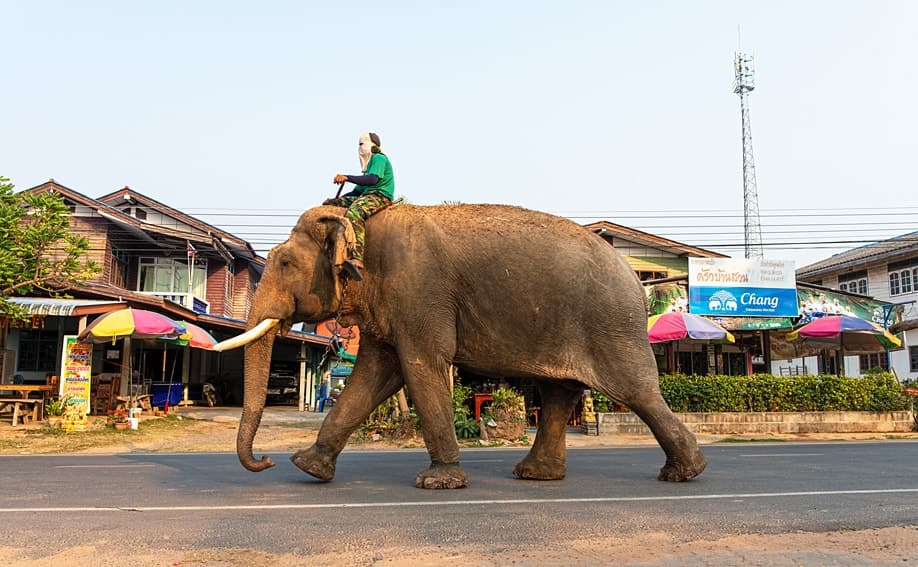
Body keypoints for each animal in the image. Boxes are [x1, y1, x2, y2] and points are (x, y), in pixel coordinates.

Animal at [216, 203, 712, 488]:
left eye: (283, 262)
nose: (266, 461)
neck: (362, 226)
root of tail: (637, 279)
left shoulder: (419, 291)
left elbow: (420, 367)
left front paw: (439, 482)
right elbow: (375, 376)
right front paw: (308, 467)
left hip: (611, 327)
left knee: (636, 391)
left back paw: (684, 473)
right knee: (559, 393)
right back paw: (536, 475)